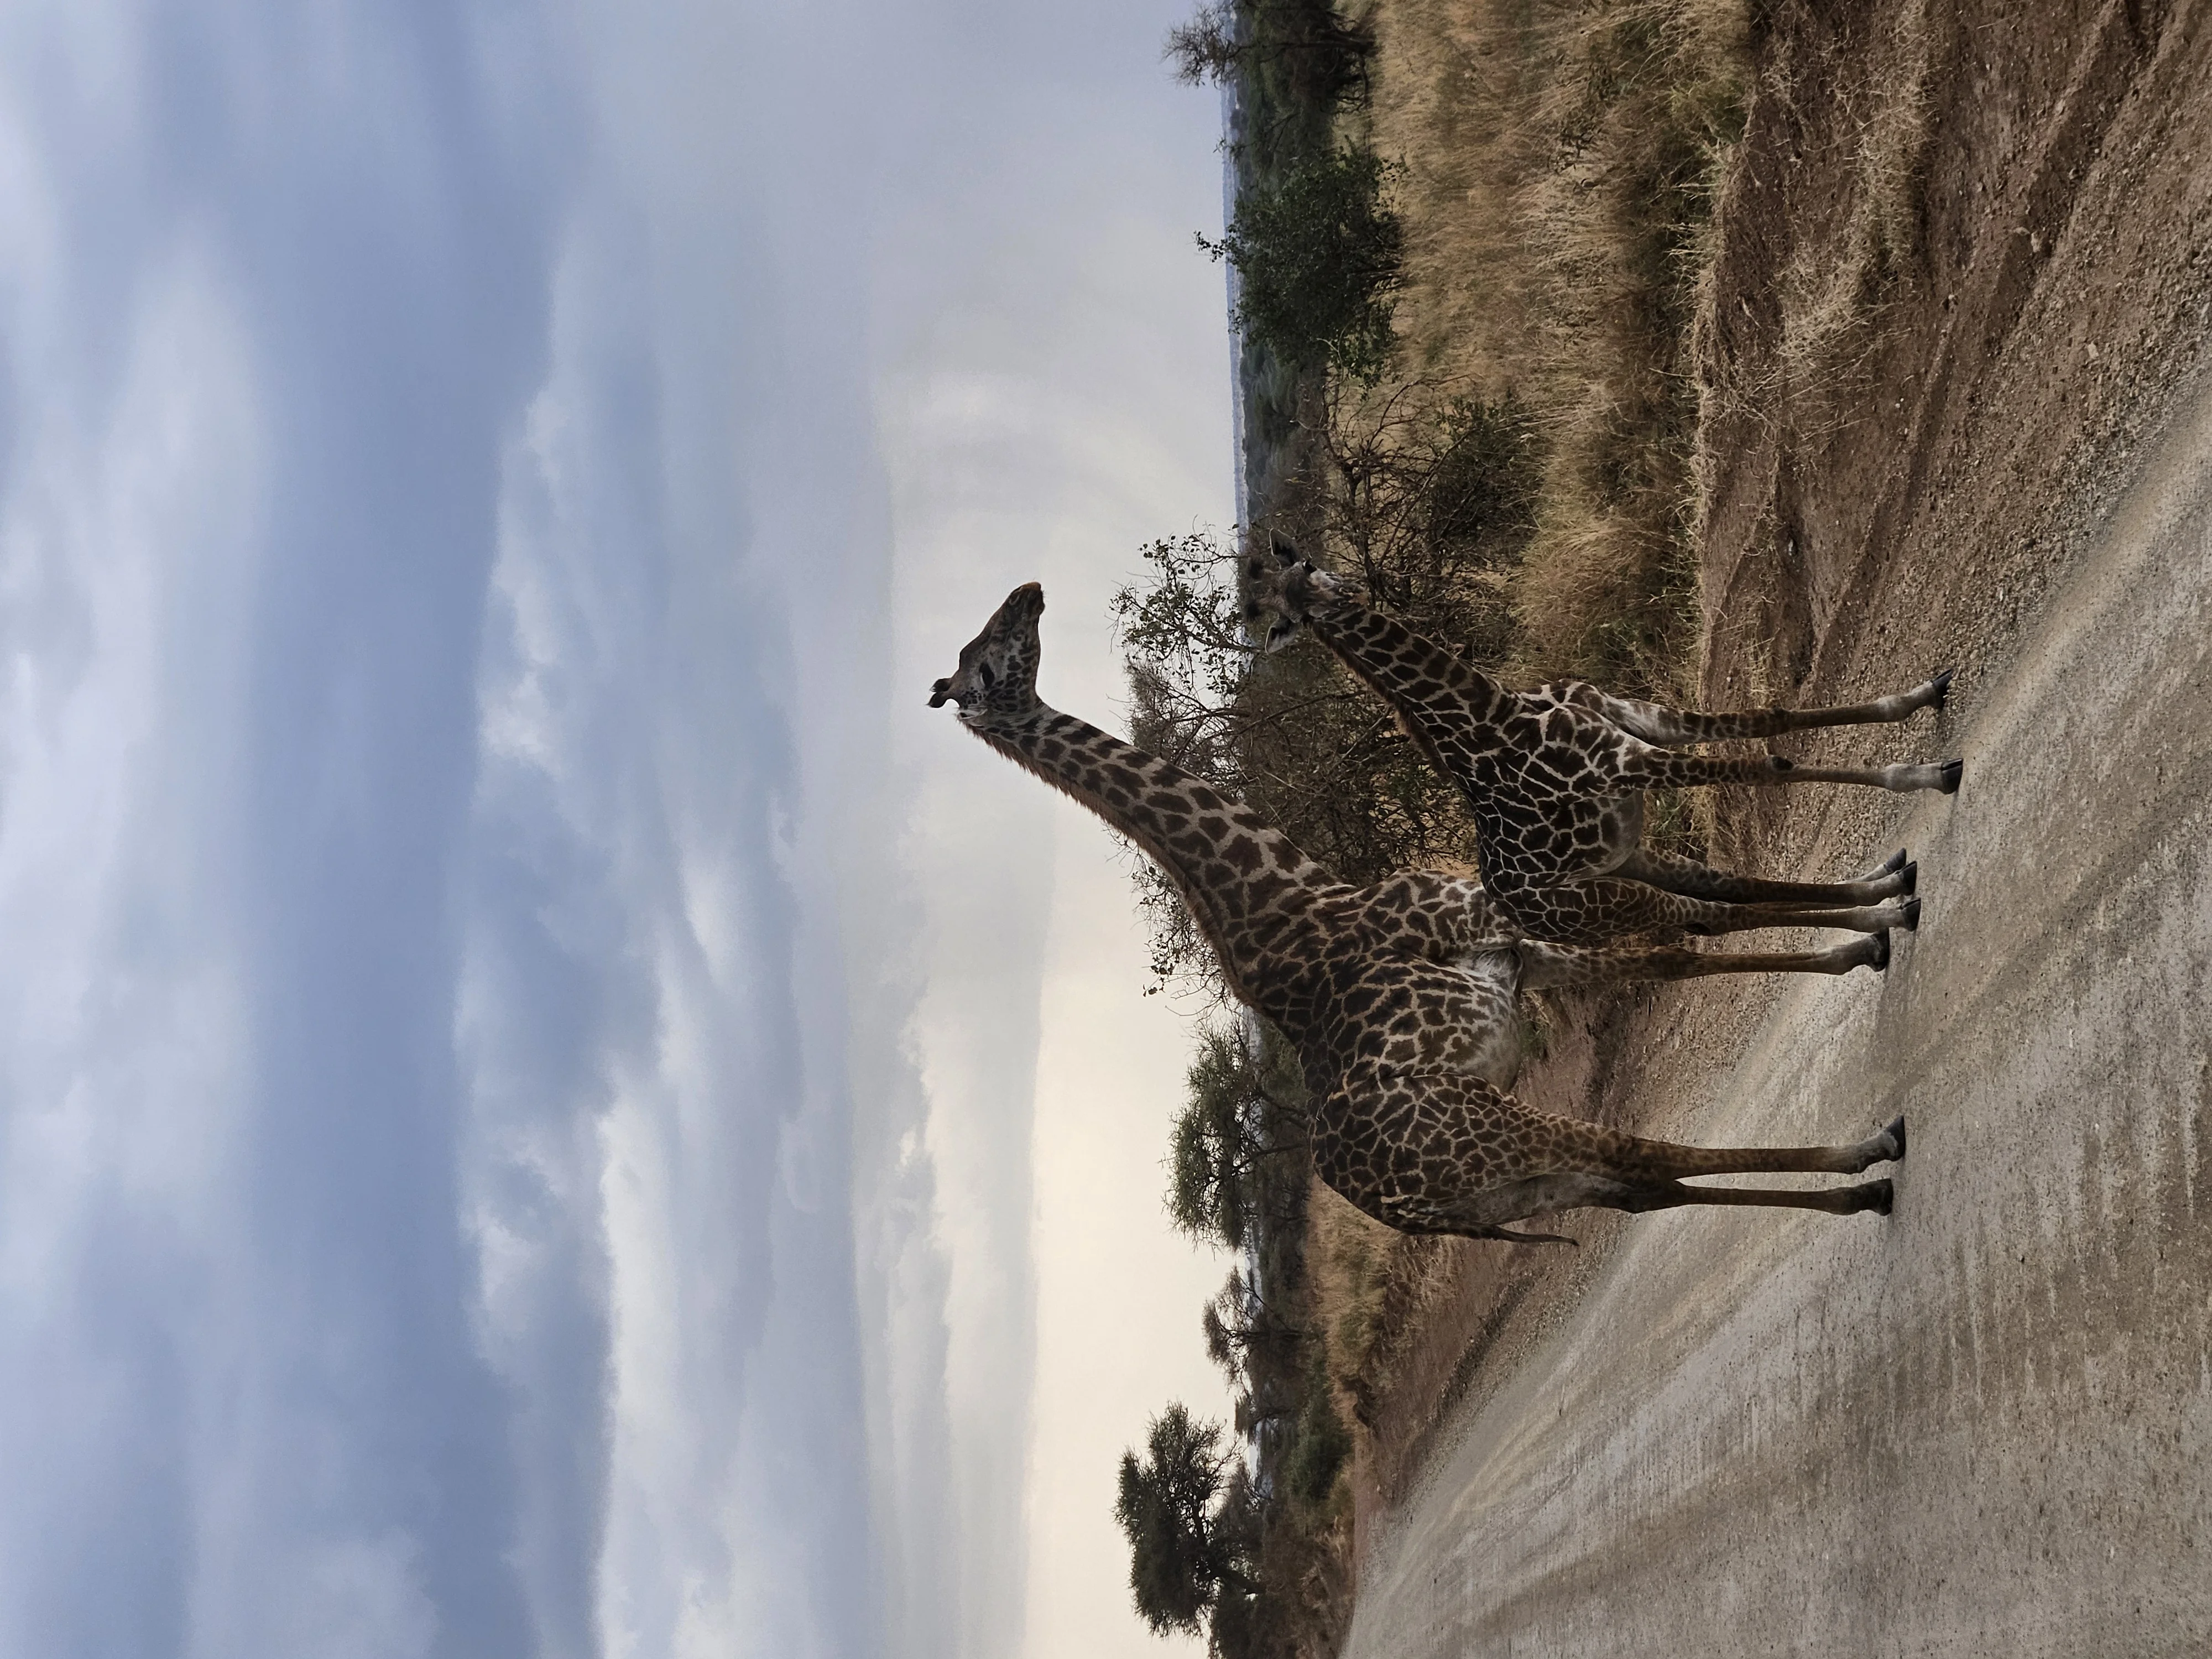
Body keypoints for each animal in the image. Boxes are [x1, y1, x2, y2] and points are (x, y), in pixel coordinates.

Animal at [928, 582, 1904, 1245]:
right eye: (988, 660)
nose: (1031, 592)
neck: (1310, 901)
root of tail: (1398, 1207)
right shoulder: (1508, 936)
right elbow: (1688, 934)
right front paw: (1883, 914)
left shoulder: (1516, 949)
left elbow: (1679, 944)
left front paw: (1874, 918)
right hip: (1493, 1128)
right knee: (1652, 1159)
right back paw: (1867, 1160)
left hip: (1517, 1187)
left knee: (1642, 1184)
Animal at [1236, 537, 1961, 947]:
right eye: (1290, 611)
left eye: (1305, 564)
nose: (1337, 593)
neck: (1497, 715)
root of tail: (1516, 919)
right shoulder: (1624, 766)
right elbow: (1773, 767)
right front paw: (1923, 775)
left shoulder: (1632, 723)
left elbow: (1768, 719)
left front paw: (1917, 698)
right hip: (1604, 904)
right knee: (1712, 916)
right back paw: (1880, 922)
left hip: (1629, 859)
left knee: (1728, 889)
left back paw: (1878, 889)